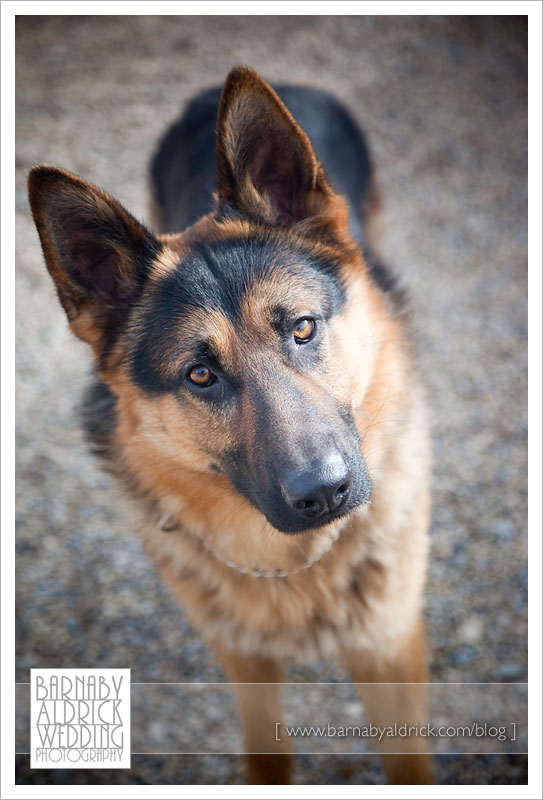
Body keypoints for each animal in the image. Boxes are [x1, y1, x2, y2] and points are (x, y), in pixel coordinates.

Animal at [28, 65, 434, 784]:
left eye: (301, 328)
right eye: (199, 375)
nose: (324, 494)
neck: (295, 567)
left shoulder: (388, 648)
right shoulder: (244, 663)